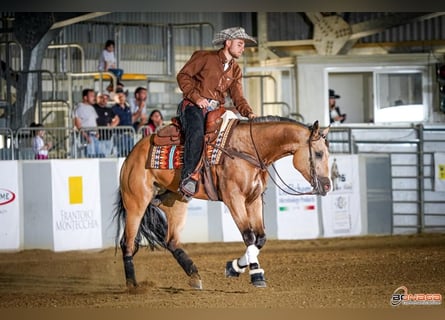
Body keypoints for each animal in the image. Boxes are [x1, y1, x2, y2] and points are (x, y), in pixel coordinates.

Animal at [114, 114, 330, 292]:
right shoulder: (233, 199)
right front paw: (256, 275)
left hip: (175, 201)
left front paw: (234, 268)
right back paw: (133, 286)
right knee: (127, 243)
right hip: (136, 202)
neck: (248, 149)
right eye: (319, 153)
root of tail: (131, 155)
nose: (328, 185)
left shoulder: (253, 200)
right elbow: (249, 237)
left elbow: (260, 239)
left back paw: (194, 276)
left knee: (171, 241)